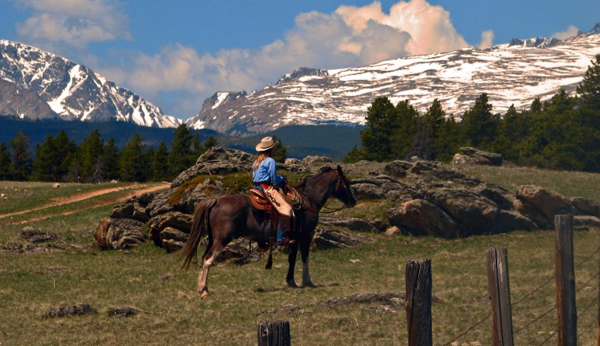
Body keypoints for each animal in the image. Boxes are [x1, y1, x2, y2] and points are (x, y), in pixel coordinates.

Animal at [178, 165, 356, 298]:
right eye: (346, 182)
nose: (353, 201)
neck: (306, 201)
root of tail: (215, 200)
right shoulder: (306, 235)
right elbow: (305, 257)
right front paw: (308, 282)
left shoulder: (294, 239)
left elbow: (292, 259)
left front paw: (291, 281)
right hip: (221, 240)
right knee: (208, 260)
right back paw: (204, 291)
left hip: (212, 239)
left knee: (204, 258)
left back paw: (202, 288)